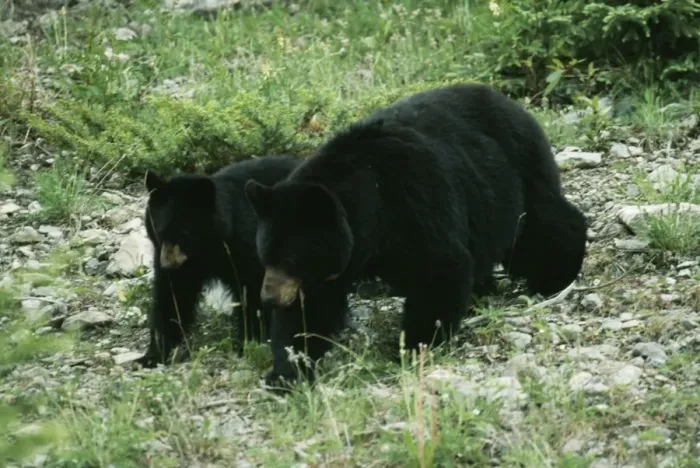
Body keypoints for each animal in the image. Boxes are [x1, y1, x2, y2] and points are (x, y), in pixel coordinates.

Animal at [135, 154, 301, 368]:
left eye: (184, 235)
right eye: (159, 232)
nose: (168, 265)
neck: (209, 247)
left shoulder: (248, 245)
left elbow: (253, 289)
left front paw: (250, 341)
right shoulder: (177, 260)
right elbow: (172, 295)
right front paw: (152, 354)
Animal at [244, 83, 587, 387]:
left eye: (291, 259)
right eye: (265, 257)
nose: (268, 297)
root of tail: (513, 103)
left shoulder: (413, 203)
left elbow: (438, 268)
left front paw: (415, 344)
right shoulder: (330, 265)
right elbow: (308, 310)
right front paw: (287, 371)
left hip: (515, 170)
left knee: (539, 224)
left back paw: (556, 274)